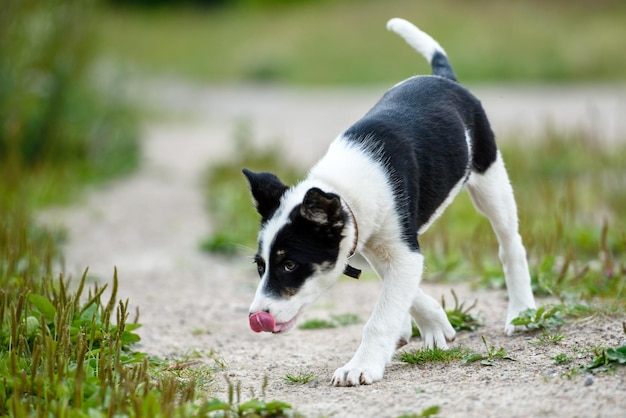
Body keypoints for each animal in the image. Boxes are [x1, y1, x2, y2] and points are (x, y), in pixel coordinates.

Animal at [241, 18, 532, 386]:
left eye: (290, 265)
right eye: (260, 266)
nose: (256, 317)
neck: (342, 187)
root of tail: (444, 78)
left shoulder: (399, 249)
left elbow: (382, 314)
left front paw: (361, 366)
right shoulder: (374, 240)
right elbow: (400, 290)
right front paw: (434, 325)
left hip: (489, 178)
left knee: (510, 245)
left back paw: (522, 312)